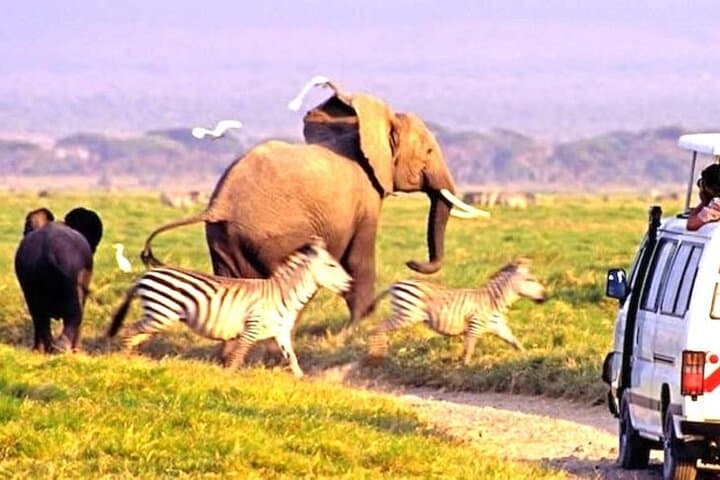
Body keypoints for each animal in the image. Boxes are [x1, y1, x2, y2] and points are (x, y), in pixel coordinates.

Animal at [15, 207, 103, 352]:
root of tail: (48, 253)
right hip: (73, 281)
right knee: (73, 315)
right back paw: (62, 349)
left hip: (31, 284)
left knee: (39, 318)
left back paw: (43, 350)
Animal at [141, 78, 486, 329]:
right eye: (428, 152)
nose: (412, 262)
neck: (366, 126)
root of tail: (218, 204)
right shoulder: (365, 198)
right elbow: (359, 260)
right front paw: (358, 329)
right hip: (273, 236)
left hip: (224, 238)